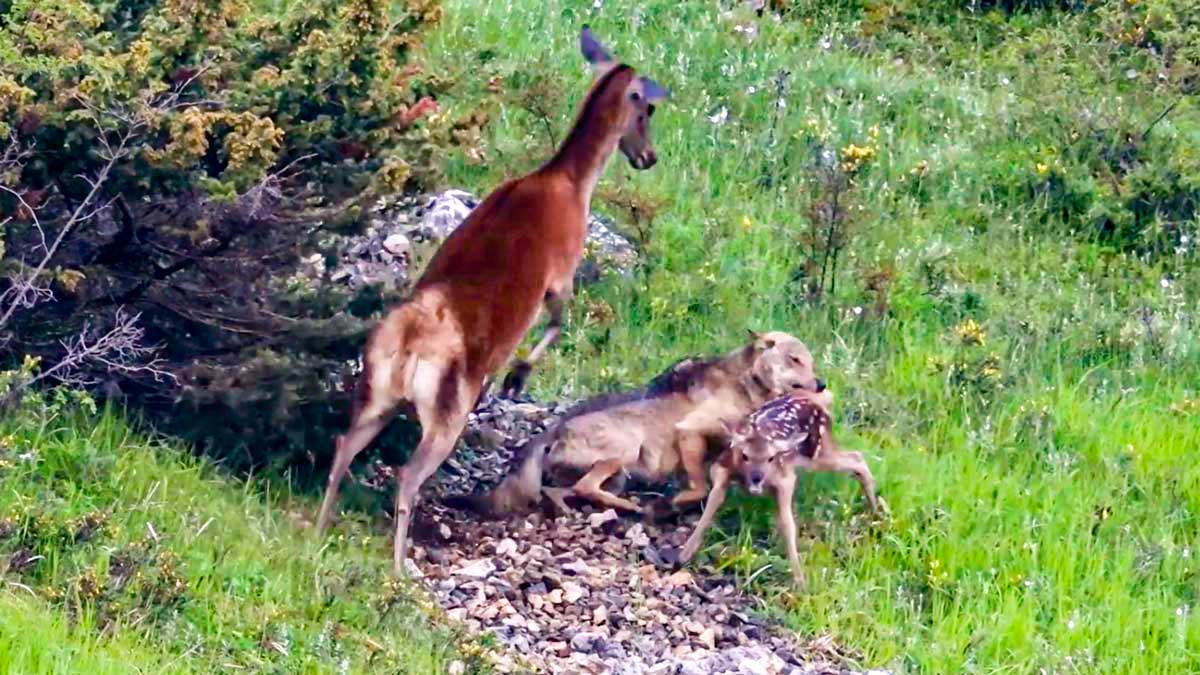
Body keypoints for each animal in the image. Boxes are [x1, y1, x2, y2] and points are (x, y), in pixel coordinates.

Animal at [314, 27, 672, 571]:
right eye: (646, 109)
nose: (648, 157)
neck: (569, 184)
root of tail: (408, 345)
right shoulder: (562, 273)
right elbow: (560, 322)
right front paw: (514, 379)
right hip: (444, 410)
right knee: (407, 475)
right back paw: (399, 566)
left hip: (375, 391)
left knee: (342, 446)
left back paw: (316, 531)